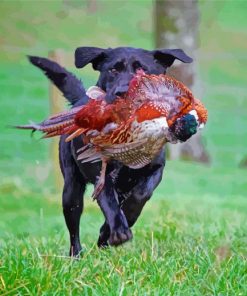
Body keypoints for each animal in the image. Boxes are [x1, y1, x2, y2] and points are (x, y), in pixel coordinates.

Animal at [28, 45, 193, 254]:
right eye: (113, 69)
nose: (123, 92)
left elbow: (141, 194)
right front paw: (118, 232)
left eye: (143, 70)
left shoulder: (155, 169)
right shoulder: (100, 172)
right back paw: (77, 255)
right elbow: (109, 201)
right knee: (74, 226)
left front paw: (115, 227)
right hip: (71, 188)